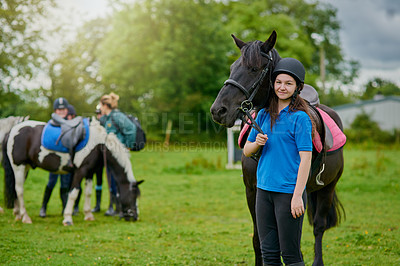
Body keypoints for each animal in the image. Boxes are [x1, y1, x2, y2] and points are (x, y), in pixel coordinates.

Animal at [0, 118, 142, 224]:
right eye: (133, 195)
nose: (134, 217)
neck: (99, 144)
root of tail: (11, 131)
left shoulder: (90, 172)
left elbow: (88, 193)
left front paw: (88, 215)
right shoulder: (80, 171)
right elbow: (74, 193)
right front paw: (68, 218)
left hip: (25, 168)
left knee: (15, 189)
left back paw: (18, 214)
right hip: (19, 166)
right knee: (19, 190)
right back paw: (25, 217)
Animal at [209, 31, 344, 266]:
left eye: (254, 69)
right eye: (232, 67)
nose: (218, 110)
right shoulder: (252, 191)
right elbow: (258, 239)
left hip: (327, 188)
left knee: (319, 227)